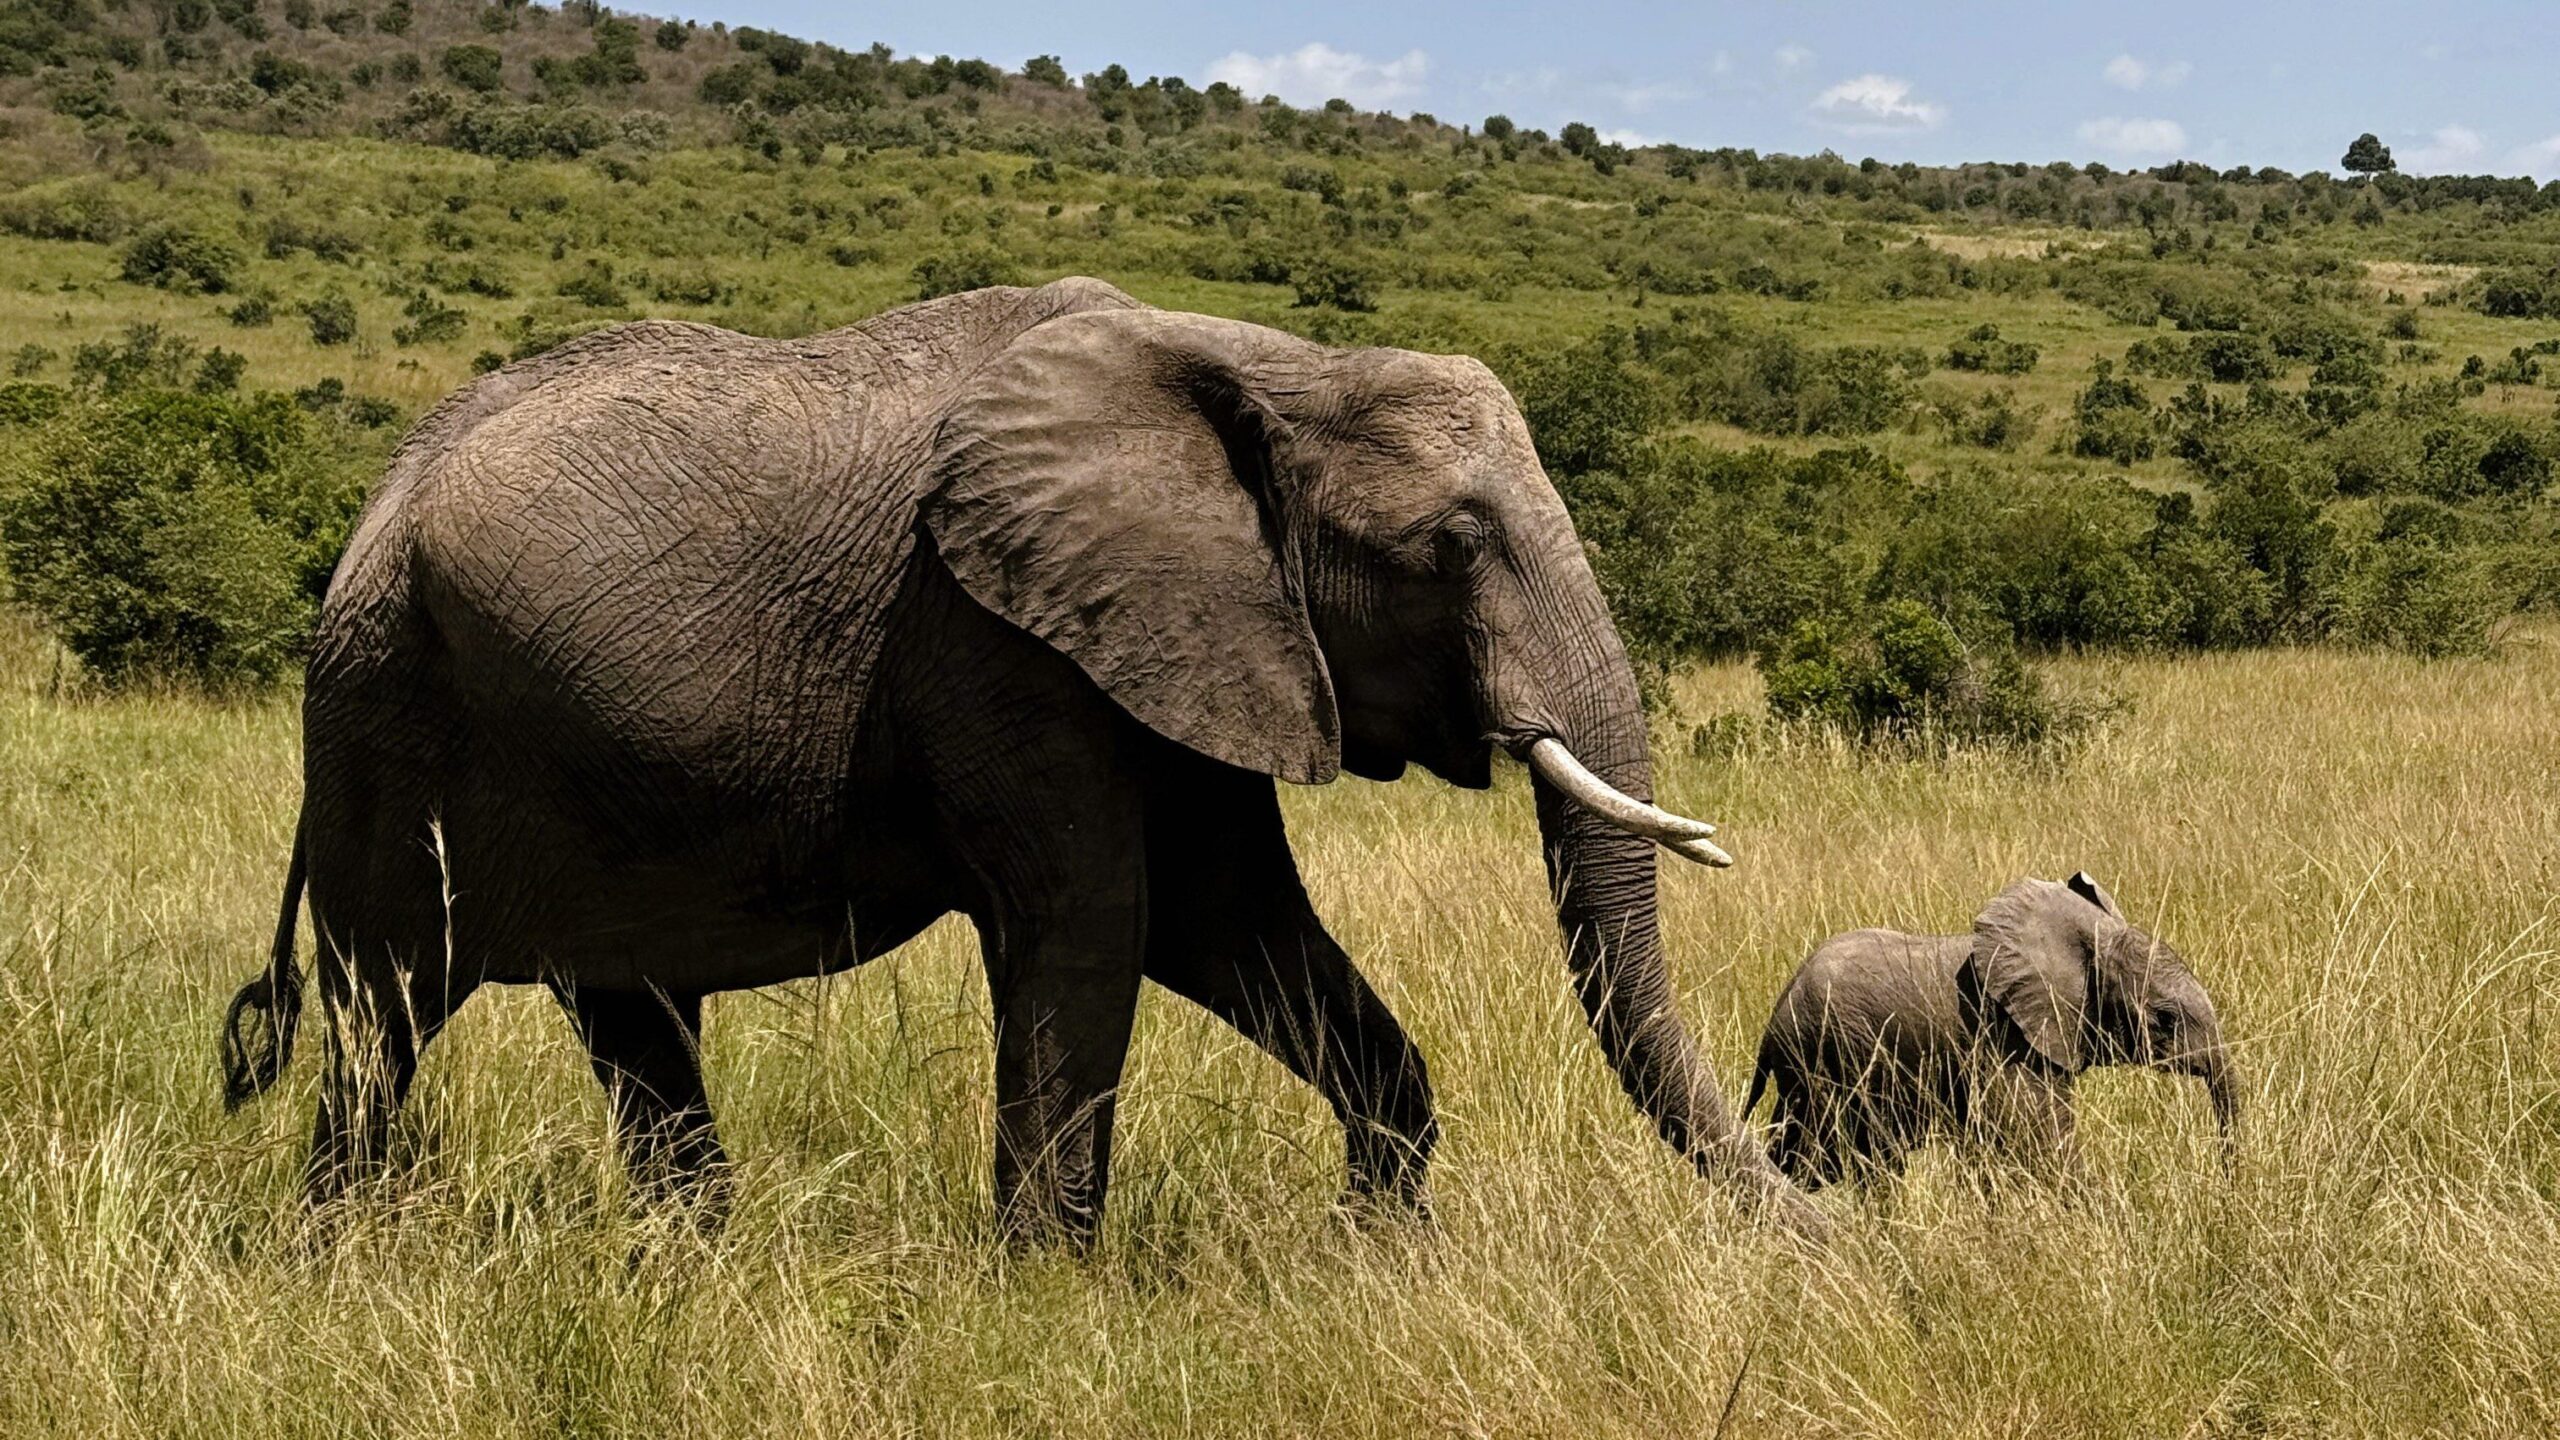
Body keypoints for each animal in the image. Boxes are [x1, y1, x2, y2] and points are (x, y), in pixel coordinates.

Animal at [217, 276, 1824, 1240]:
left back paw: (692, 1270)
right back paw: (346, 1260)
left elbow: (1230, 920)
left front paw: (1375, 1248)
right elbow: (1093, 928)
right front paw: (1049, 1294)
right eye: (1450, 546)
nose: (1821, 1225)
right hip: (386, 719)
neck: (1261, 365)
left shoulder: (1186, 632)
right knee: (383, 1022)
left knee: (633, 1021)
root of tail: (368, 515)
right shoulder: (991, 642)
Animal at [1742, 873, 2237, 1190]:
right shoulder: (2004, 1040)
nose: (2226, 1190)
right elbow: (2038, 1140)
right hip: (1825, 1061)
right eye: (2164, 1019)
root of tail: (1774, 1016)